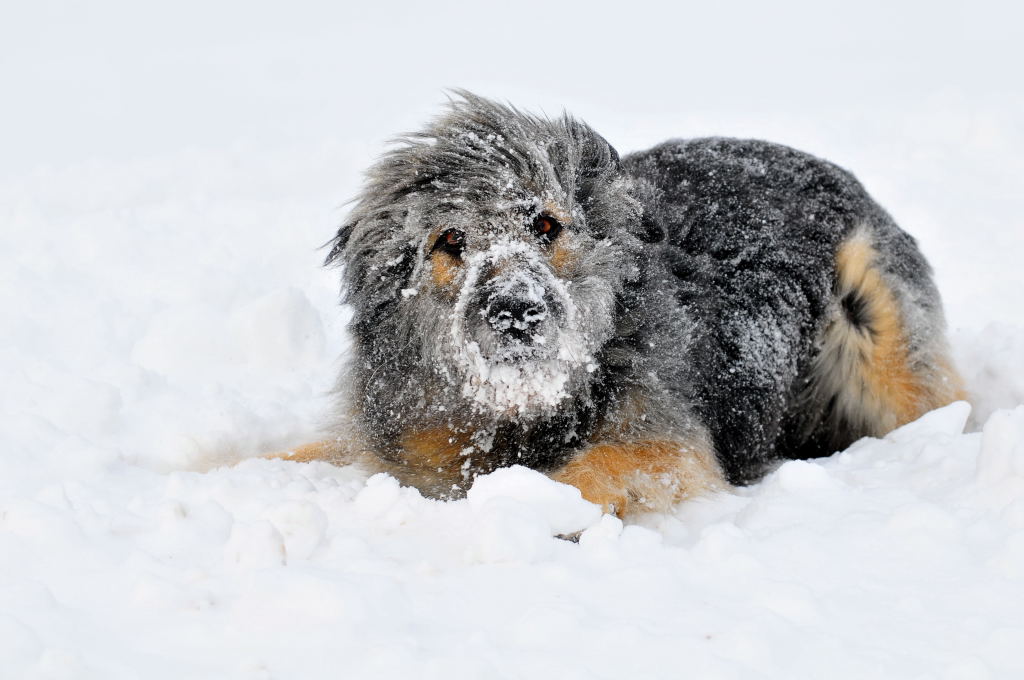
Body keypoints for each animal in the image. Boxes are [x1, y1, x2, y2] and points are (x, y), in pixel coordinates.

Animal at [276, 91, 962, 516]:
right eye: (450, 240)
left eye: (546, 224)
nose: (515, 310)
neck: (521, 411)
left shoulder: (665, 435)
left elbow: (606, 465)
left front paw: (539, 509)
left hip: (877, 327)